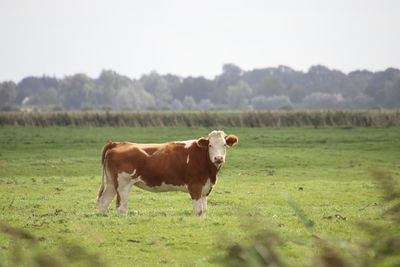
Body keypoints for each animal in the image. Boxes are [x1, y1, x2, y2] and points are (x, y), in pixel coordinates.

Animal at [96, 131, 238, 218]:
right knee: (121, 207)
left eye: (224, 145)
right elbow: (198, 210)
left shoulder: (205, 188)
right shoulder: (195, 186)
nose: (218, 158)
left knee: (103, 202)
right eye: (210, 145)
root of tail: (118, 143)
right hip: (123, 185)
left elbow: (203, 211)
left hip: (111, 183)